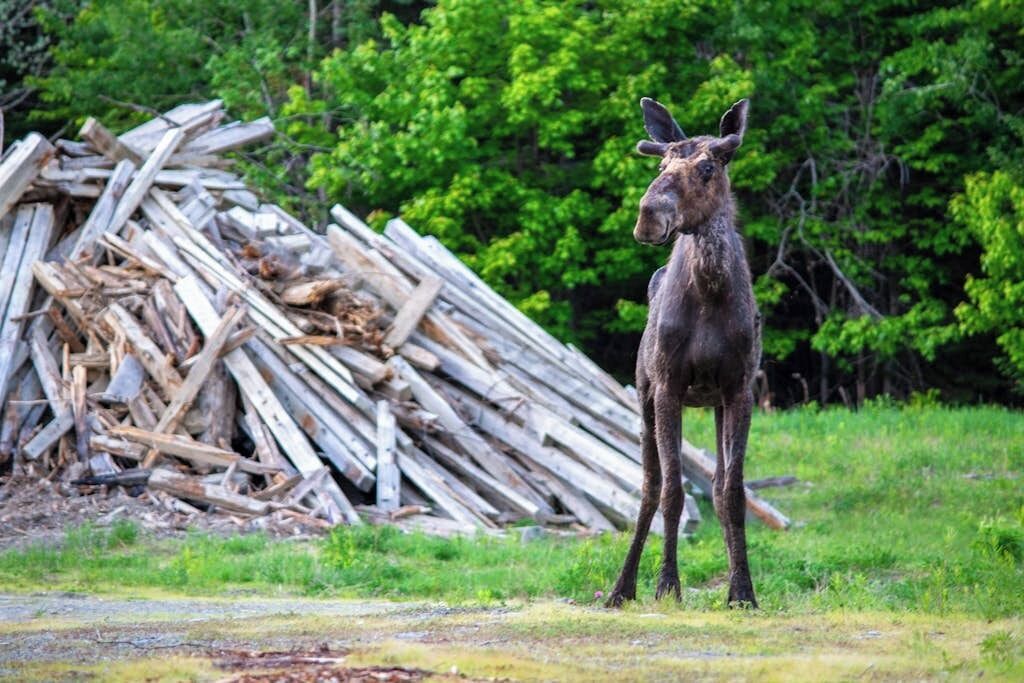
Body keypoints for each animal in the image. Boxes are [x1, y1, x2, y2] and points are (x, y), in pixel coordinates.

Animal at [606, 97, 760, 609]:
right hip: (644, 396)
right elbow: (672, 491)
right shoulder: (669, 385)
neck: (711, 291)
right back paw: (621, 587)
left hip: (712, 403)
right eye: (661, 165)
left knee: (713, 483)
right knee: (649, 486)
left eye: (708, 167)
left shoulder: (739, 388)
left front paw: (742, 591)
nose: (648, 215)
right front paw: (666, 584)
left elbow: (732, 492)